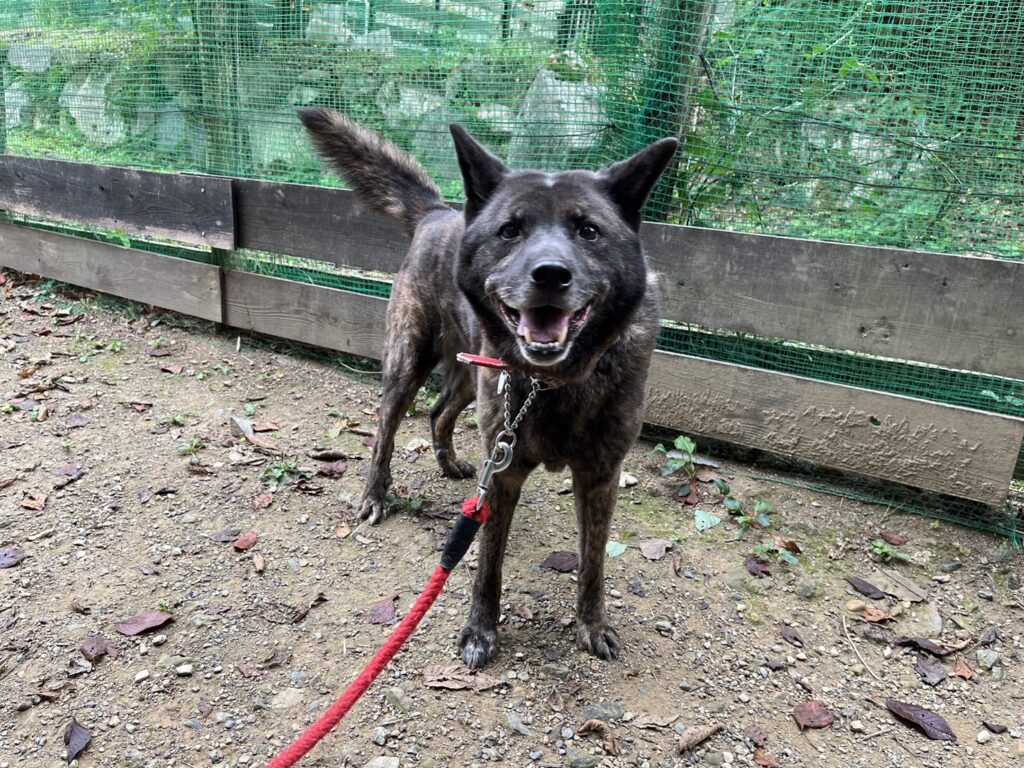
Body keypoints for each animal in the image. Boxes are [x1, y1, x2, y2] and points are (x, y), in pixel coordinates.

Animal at [299, 108, 677, 667]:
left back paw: (450, 462)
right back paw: (374, 495)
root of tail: (439, 211)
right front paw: (480, 631)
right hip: (407, 363)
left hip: (473, 376)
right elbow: (486, 563)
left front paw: (592, 625)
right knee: (385, 431)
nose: (550, 274)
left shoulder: (599, 477)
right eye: (510, 231)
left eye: (589, 231)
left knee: (438, 411)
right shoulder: (503, 475)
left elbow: (593, 564)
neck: (551, 384)